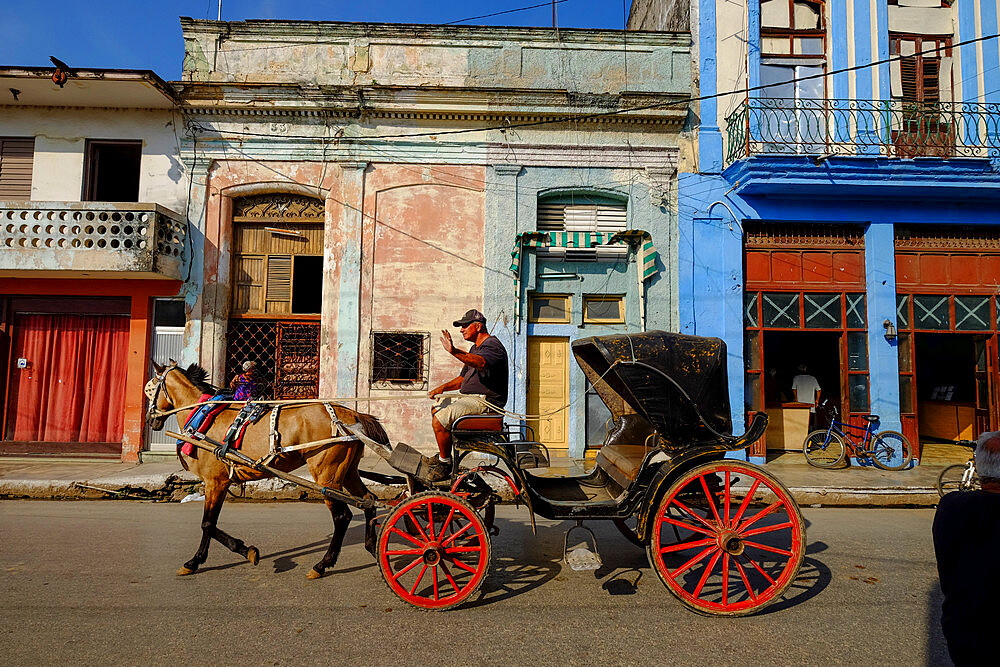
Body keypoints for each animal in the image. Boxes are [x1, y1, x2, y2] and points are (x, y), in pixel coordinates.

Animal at [145, 360, 386, 580]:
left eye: (150, 389)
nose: (149, 420)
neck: (202, 414)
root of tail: (354, 415)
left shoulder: (215, 481)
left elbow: (208, 523)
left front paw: (226, 555)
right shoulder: (218, 482)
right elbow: (209, 524)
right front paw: (205, 559)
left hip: (327, 476)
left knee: (342, 516)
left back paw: (322, 564)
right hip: (348, 472)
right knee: (368, 500)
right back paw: (372, 546)